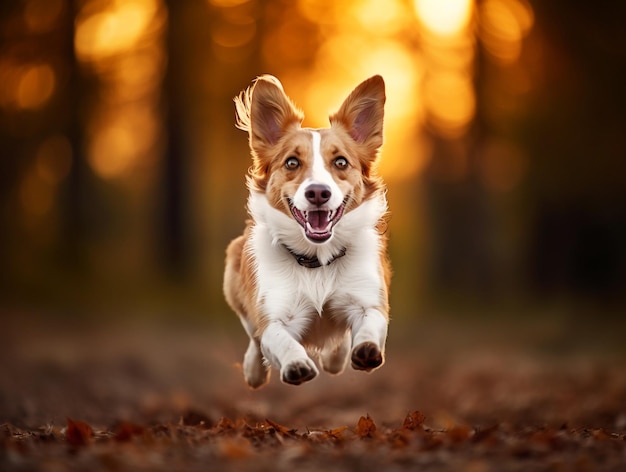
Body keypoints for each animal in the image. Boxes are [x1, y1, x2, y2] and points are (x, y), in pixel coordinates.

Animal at [224, 76, 390, 388]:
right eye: (292, 162)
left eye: (340, 162)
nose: (318, 192)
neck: (318, 261)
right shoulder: (274, 314)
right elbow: (278, 339)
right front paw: (296, 364)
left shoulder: (367, 298)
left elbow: (370, 324)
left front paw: (366, 349)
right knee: (253, 337)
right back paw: (254, 369)